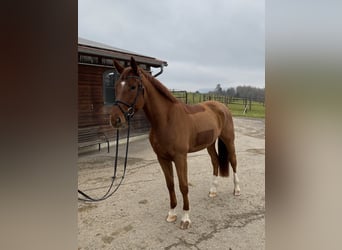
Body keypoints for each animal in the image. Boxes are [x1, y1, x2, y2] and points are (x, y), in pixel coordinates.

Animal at [111, 57, 239, 229]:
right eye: (117, 86)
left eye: (133, 87)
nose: (115, 119)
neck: (166, 120)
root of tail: (221, 106)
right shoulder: (162, 158)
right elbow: (170, 184)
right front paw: (171, 214)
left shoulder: (180, 158)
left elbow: (183, 186)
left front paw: (185, 218)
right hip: (210, 144)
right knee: (215, 161)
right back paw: (213, 191)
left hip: (229, 140)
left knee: (233, 161)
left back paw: (237, 190)